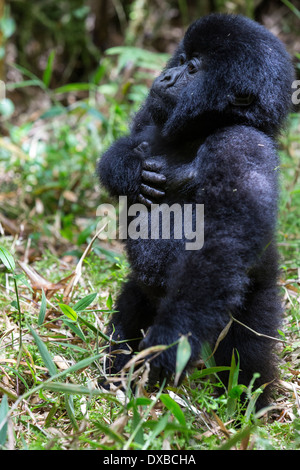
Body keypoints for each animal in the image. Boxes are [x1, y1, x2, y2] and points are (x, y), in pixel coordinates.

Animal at [97, 12, 294, 406]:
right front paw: (126, 166)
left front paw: (170, 343)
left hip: (256, 300)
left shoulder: (241, 144)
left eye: (192, 69)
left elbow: (221, 245)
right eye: (183, 58)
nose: (166, 77)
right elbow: (126, 146)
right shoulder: (151, 113)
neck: (204, 128)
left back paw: (250, 407)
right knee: (131, 306)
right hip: (142, 292)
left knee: (247, 354)